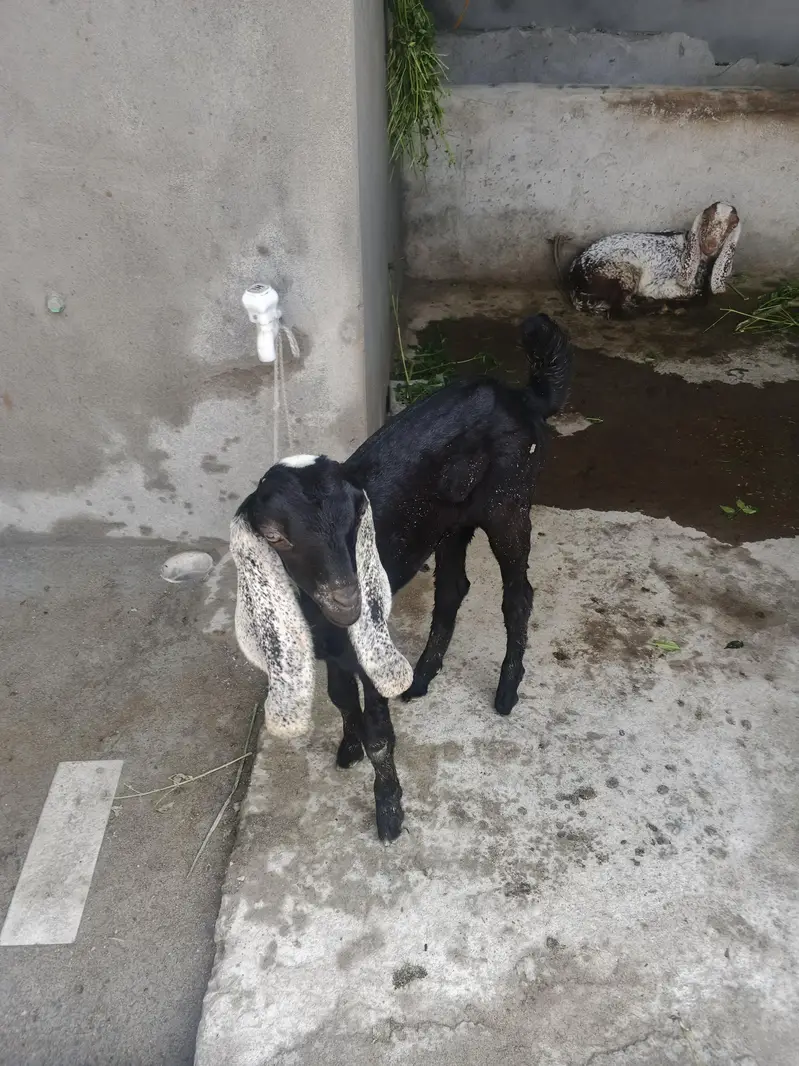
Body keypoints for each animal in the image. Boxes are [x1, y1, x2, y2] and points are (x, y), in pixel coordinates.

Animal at [233, 313, 573, 841]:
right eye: (275, 537)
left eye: (357, 519)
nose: (348, 599)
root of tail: (522, 395)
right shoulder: (333, 644)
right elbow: (340, 699)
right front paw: (348, 748)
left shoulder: (364, 643)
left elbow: (378, 730)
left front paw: (389, 811)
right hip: (452, 521)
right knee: (453, 588)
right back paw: (422, 676)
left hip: (510, 502)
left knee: (518, 594)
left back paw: (506, 690)